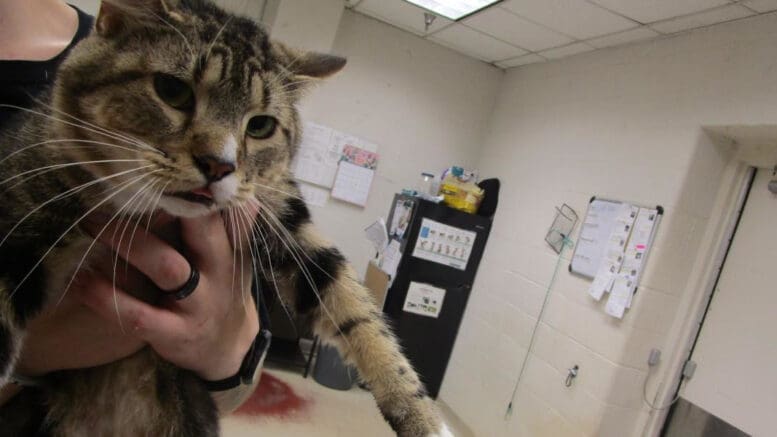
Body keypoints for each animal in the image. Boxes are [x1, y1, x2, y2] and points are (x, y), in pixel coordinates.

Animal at [0, 0, 448, 434]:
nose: (219, 165)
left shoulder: (281, 211)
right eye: (172, 90)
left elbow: (355, 306)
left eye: (261, 125)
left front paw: (422, 417)